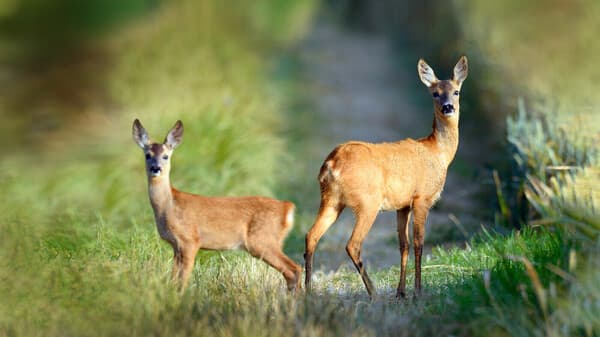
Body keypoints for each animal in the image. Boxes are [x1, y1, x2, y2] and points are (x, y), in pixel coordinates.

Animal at [131, 119, 300, 290]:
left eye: (165, 156)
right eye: (148, 155)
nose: (156, 168)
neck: (169, 206)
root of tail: (287, 207)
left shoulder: (190, 240)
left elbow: (183, 279)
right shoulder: (176, 246)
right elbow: (174, 279)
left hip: (262, 240)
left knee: (294, 269)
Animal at [304, 56, 468, 298]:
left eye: (456, 91)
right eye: (435, 93)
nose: (448, 107)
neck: (438, 152)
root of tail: (331, 165)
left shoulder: (403, 204)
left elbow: (403, 245)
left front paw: (401, 292)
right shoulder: (422, 198)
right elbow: (419, 243)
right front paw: (418, 291)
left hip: (331, 200)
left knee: (311, 235)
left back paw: (306, 291)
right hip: (368, 202)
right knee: (352, 244)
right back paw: (373, 292)